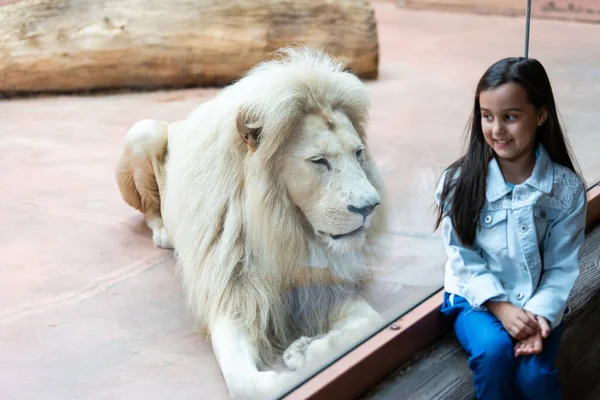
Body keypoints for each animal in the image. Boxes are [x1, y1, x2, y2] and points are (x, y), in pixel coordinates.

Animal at [116, 47, 390, 400]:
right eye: (319, 161)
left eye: (358, 153)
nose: (370, 207)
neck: (283, 228)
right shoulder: (233, 296)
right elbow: (248, 384)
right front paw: (293, 376)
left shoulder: (323, 290)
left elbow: (372, 322)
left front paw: (306, 352)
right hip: (144, 132)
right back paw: (165, 234)